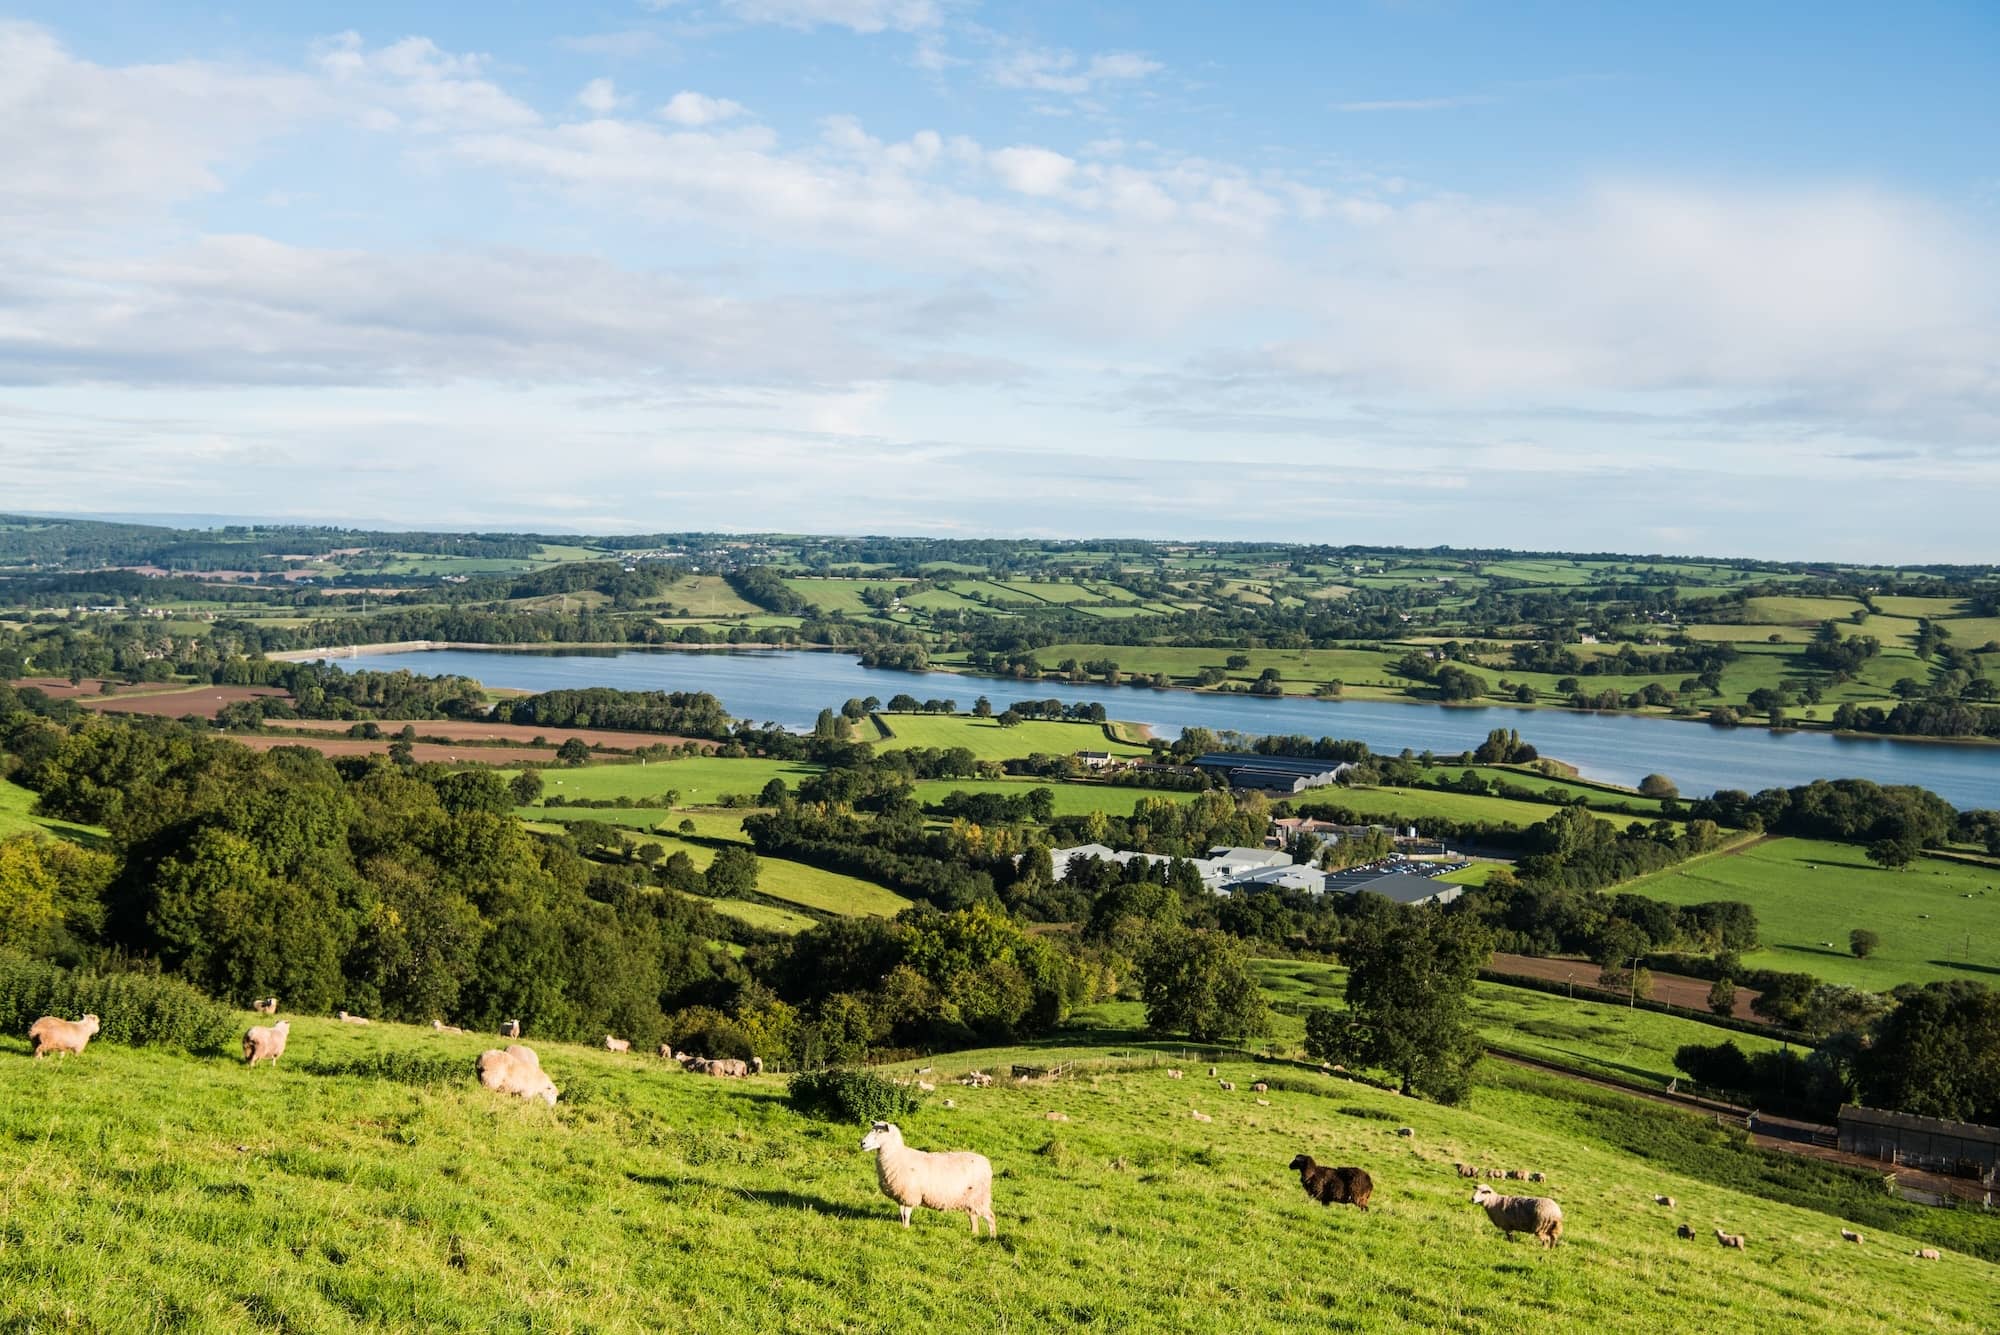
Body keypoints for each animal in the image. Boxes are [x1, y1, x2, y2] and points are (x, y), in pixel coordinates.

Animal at [860, 1119, 992, 1239]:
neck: (897, 1156)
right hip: (971, 1201)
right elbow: (902, 1214)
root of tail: (986, 1163)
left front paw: (906, 1229)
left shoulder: (910, 1195)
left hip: (980, 1197)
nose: (862, 1143)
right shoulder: (902, 1197)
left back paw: (992, 1237)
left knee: (990, 1216)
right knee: (973, 1217)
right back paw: (974, 1233)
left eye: (880, 1132)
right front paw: (903, 1227)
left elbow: (906, 1214)